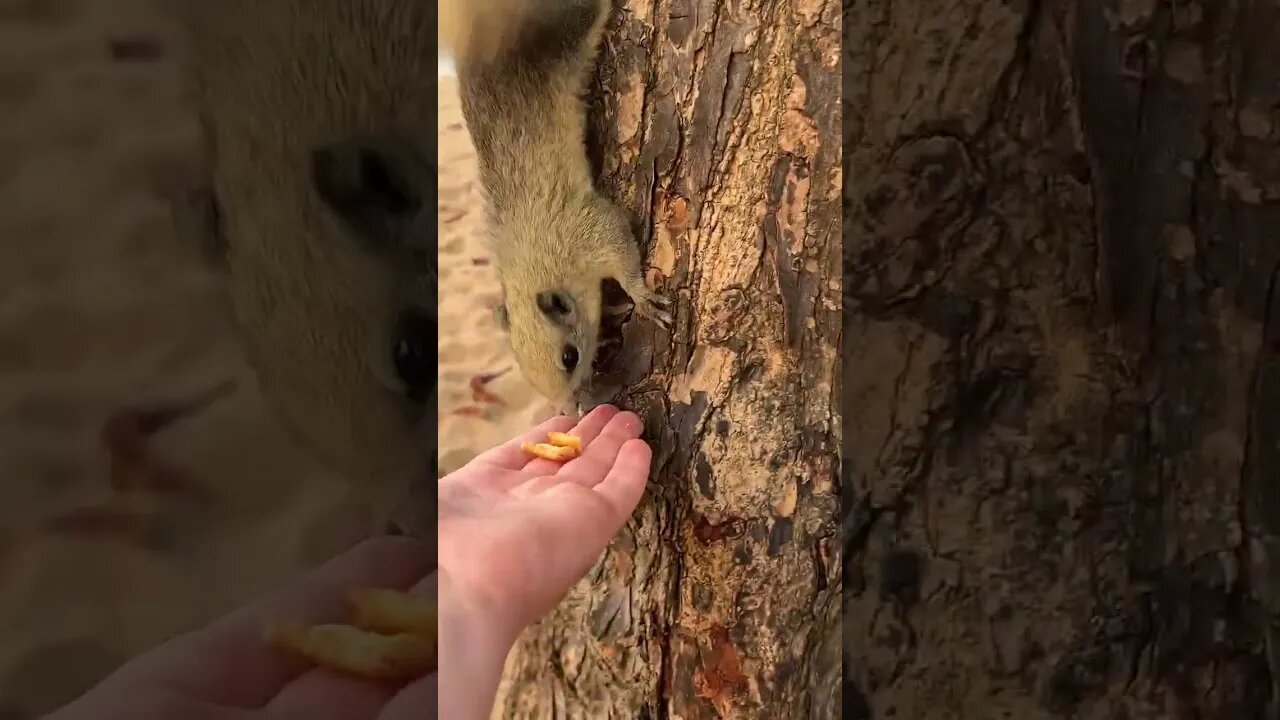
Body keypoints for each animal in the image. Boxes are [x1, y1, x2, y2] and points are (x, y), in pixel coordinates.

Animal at [445, 0, 675, 412]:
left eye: (570, 356)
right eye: (523, 373)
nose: (571, 408)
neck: (535, 261)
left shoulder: (589, 231)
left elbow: (622, 251)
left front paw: (642, 297)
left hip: (571, 28)